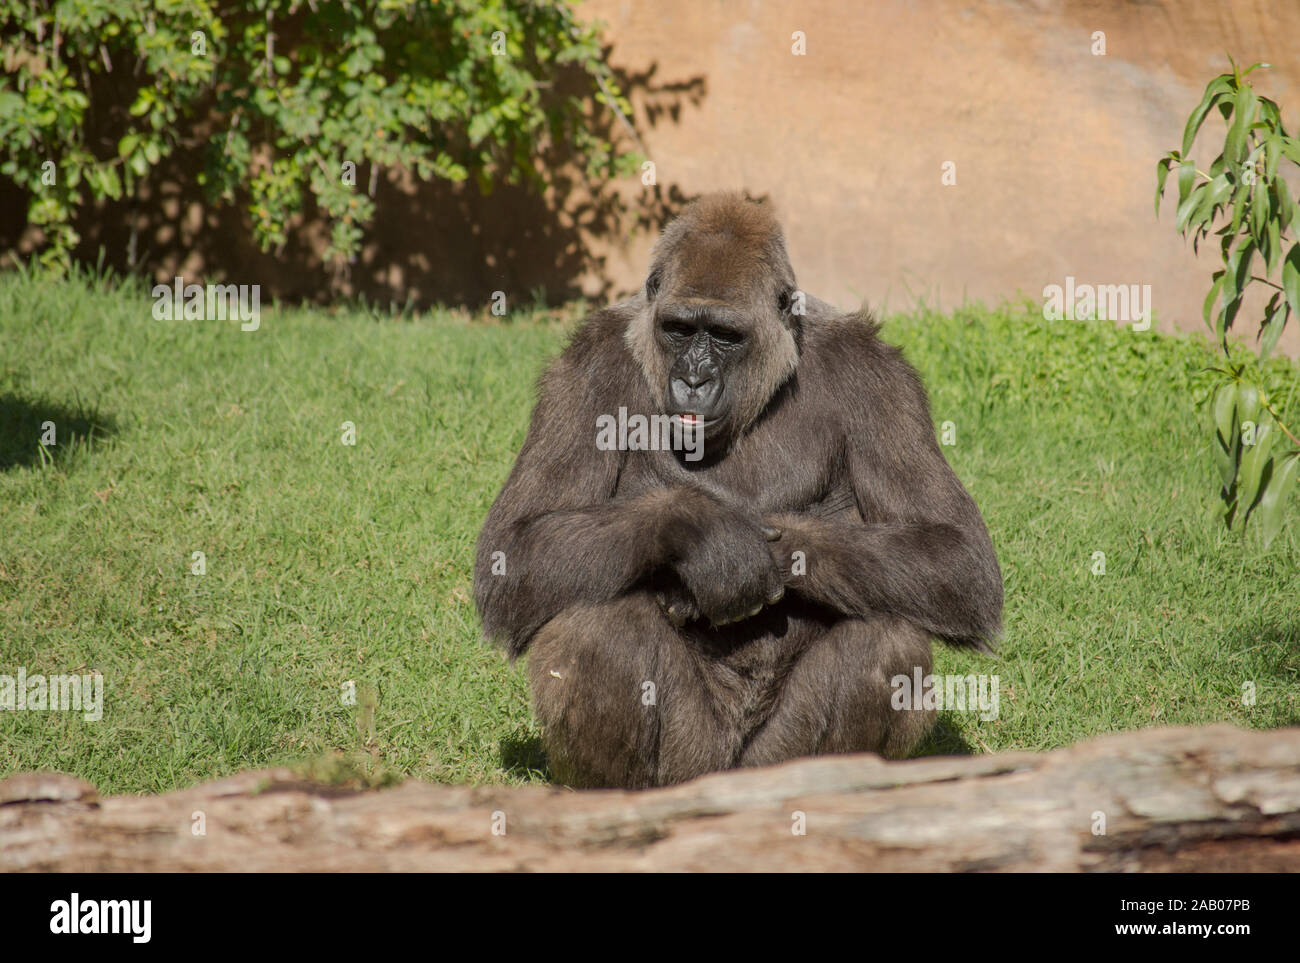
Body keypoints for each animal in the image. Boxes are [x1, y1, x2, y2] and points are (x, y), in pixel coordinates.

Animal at [473, 191, 998, 784]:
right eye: (680, 329)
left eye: (725, 336)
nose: (694, 380)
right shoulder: (583, 366)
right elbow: (515, 548)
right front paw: (710, 538)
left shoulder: (881, 376)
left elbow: (955, 554)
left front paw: (777, 551)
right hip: (692, 764)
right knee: (597, 627)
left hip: (769, 761)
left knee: (885, 638)